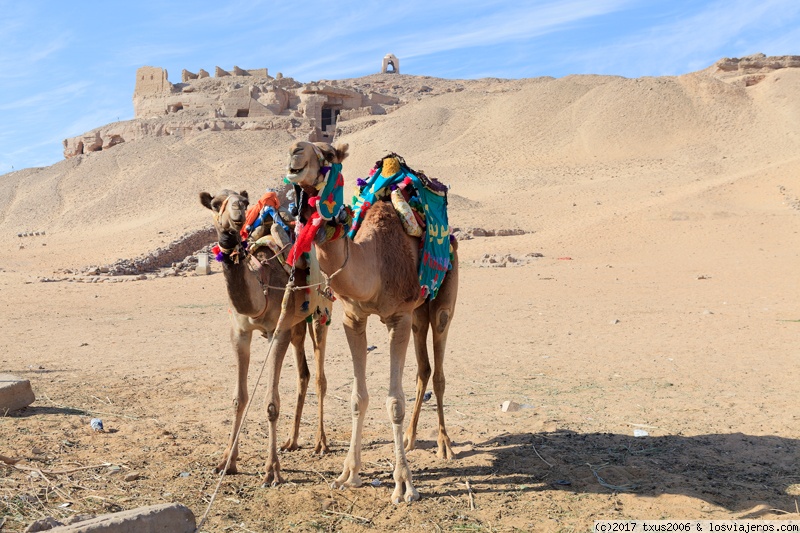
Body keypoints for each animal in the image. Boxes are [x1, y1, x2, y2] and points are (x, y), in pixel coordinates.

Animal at [199, 189, 332, 484]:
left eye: (245, 202)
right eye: (215, 203)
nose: (238, 211)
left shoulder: (278, 332)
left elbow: (271, 403)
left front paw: (272, 470)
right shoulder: (239, 333)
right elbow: (239, 399)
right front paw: (226, 462)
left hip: (321, 312)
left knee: (319, 377)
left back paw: (321, 443)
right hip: (297, 324)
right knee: (303, 374)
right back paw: (291, 441)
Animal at [284, 139, 460, 500]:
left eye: (328, 154)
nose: (295, 151)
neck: (374, 263)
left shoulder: (398, 318)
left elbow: (394, 401)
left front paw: (404, 485)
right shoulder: (354, 318)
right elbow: (357, 398)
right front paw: (348, 473)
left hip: (442, 298)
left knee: (438, 370)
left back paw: (444, 444)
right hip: (419, 313)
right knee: (423, 370)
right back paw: (410, 437)